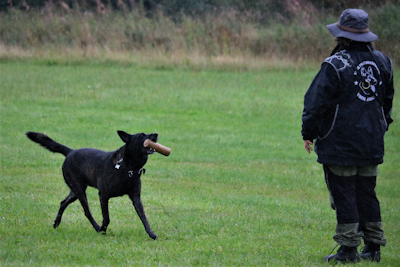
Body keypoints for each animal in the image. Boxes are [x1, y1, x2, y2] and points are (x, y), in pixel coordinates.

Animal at [24, 131, 159, 240]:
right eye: (142, 135)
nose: (156, 134)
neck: (127, 166)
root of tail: (70, 152)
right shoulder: (103, 195)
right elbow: (107, 217)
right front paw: (103, 229)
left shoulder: (136, 197)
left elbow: (144, 218)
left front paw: (151, 234)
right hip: (79, 191)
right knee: (87, 212)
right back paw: (97, 228)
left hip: (75, 191)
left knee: (63, 202)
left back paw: (56, 223)